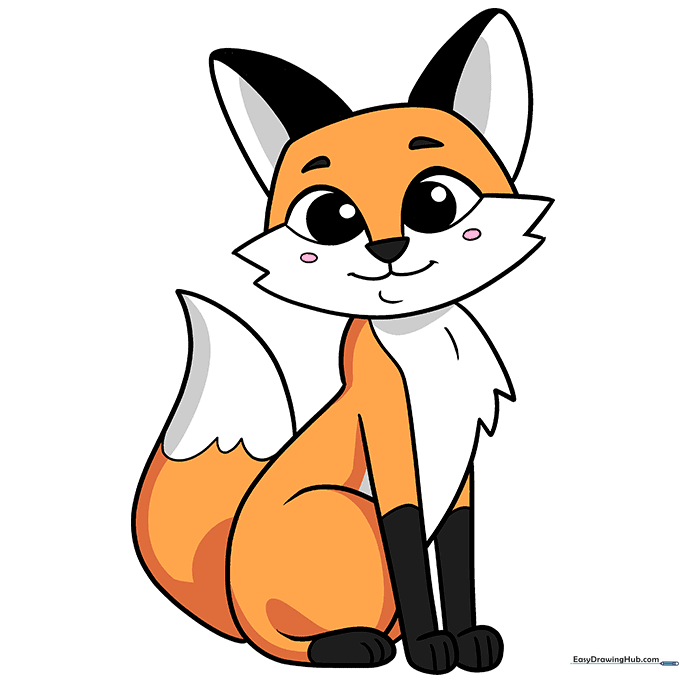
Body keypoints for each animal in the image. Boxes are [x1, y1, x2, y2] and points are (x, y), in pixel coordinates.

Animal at [133, 8, 552, 675]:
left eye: (435, 200)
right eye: (330, 217)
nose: (388, 249)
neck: (427, 348)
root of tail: (233, 606)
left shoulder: (462, 472)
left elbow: (457, 556)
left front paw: (468, 640)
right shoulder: (388, 441)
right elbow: (409, 545)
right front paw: (432, 649)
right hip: (343, 513)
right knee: (288, 647)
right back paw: (358, 645)